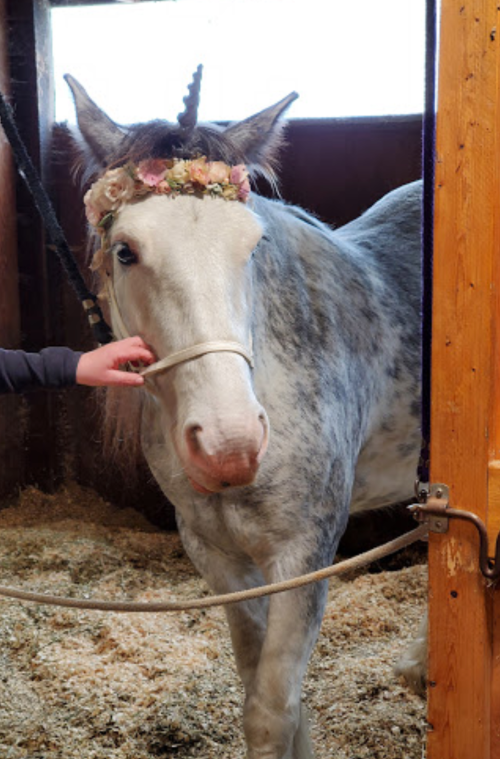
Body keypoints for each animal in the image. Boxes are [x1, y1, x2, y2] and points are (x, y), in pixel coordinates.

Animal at [65, 68, 423, 759]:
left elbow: (271, 710)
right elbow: (267, 691)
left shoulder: (304, 552)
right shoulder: (219, 556)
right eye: (125, 250)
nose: (229, 444)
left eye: (252, 245)